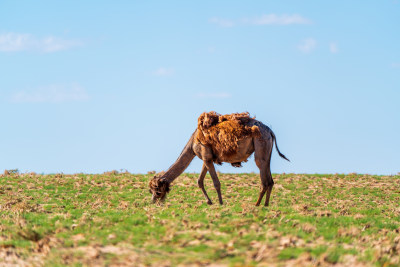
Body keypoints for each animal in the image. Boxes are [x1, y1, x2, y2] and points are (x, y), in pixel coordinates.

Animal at [148, 111, 290, 207]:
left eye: (157, 191)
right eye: (151, 191)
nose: (154, 202)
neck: (192, 143)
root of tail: (270, 131)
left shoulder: (206, 156)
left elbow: (216, 182)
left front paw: (221, 203)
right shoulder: (207, 158)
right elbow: (199, 181)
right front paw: (209, 202)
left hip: (260, 146)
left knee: (263, 178)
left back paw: (256, 204)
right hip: (267, 151)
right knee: (270, 180)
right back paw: (265, 205)